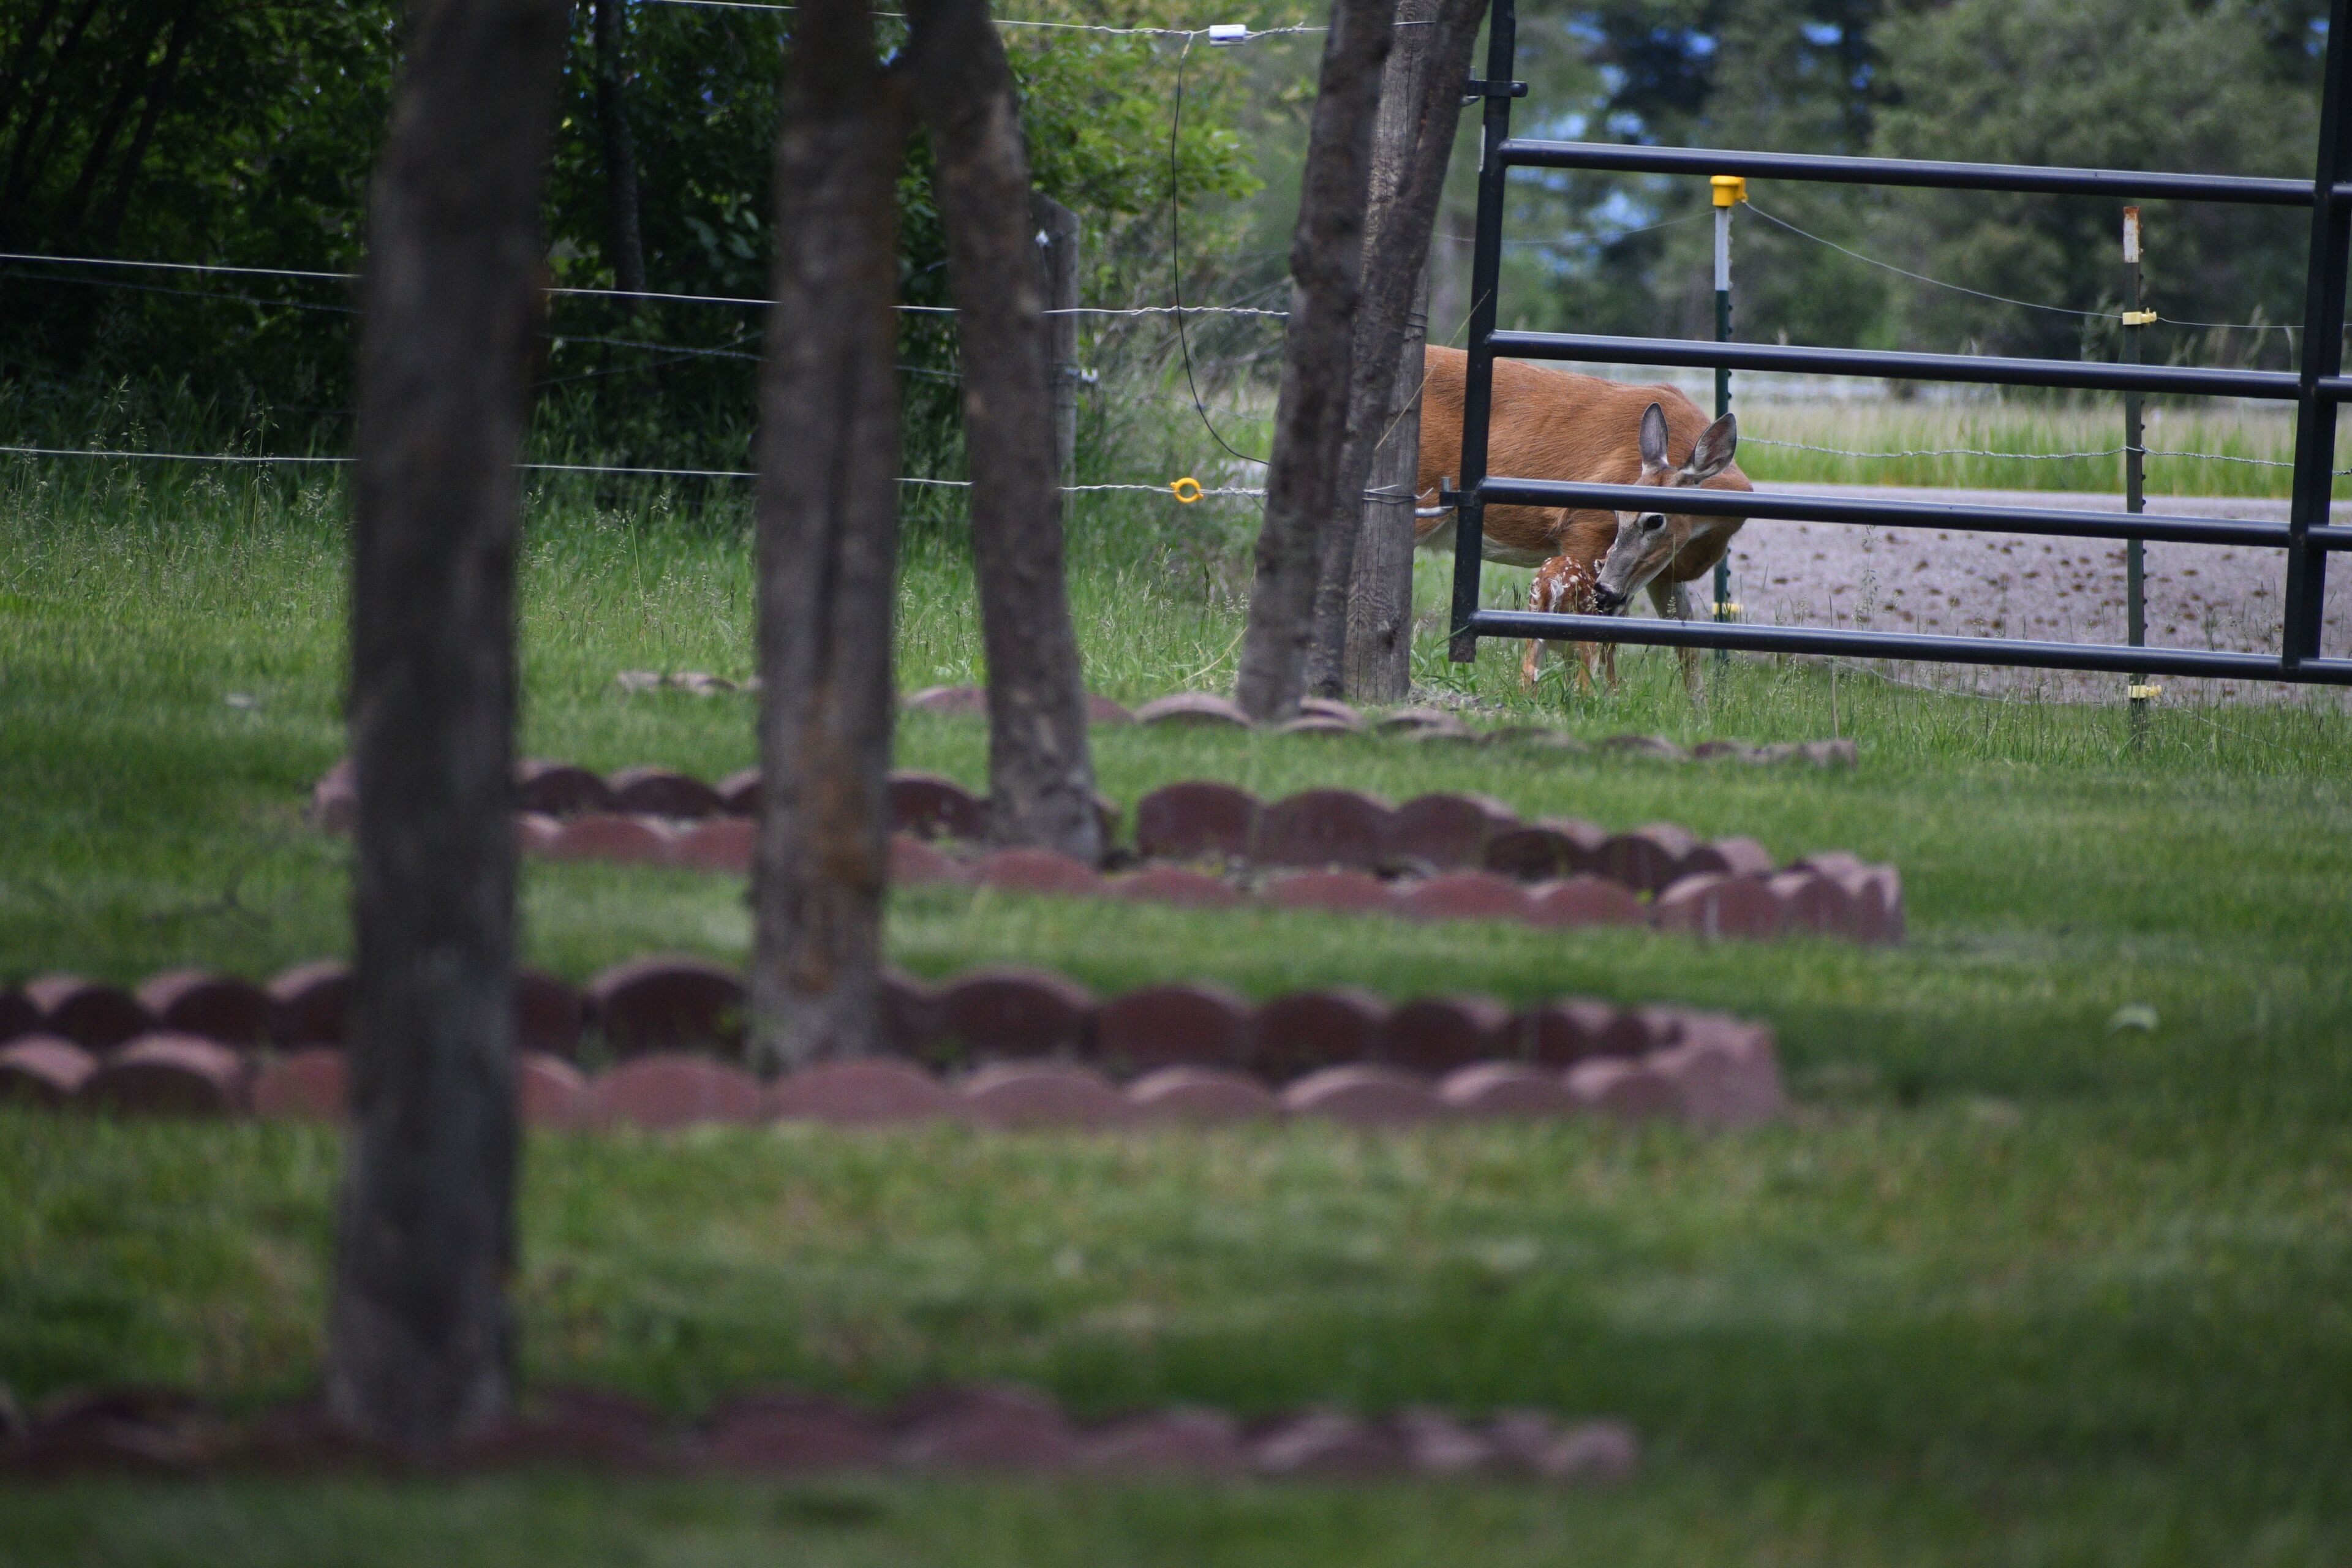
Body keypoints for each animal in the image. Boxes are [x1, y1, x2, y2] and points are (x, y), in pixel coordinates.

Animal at [1412, 345, 1751, 692]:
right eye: (1617, 509)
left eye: (1655, 521)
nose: (1608, 590)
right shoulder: (1584, 526)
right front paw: (1605, 694)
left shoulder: (1661, 570)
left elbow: (1687, 647)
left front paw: (1701, 704)